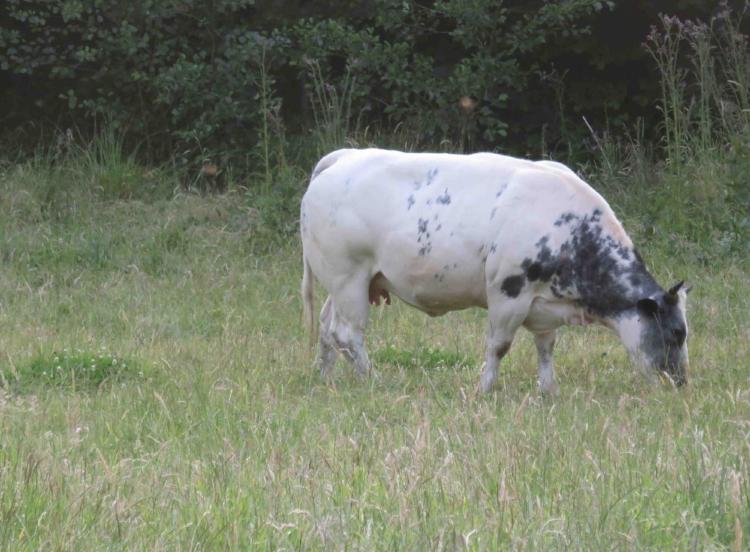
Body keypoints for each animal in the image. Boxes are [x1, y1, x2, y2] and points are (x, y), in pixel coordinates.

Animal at [300, 148, 689, 394]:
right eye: (676, 333)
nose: (681, 383)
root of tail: (344, 156)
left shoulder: (544, 305)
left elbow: (546, 347)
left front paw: (549, 390)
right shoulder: (508, 293)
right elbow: (498, 346)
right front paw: (484, 388)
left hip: (347, 282)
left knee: (327, 326)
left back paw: (324, 377)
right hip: (348, 278)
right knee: (348, 334)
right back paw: (373, 380)